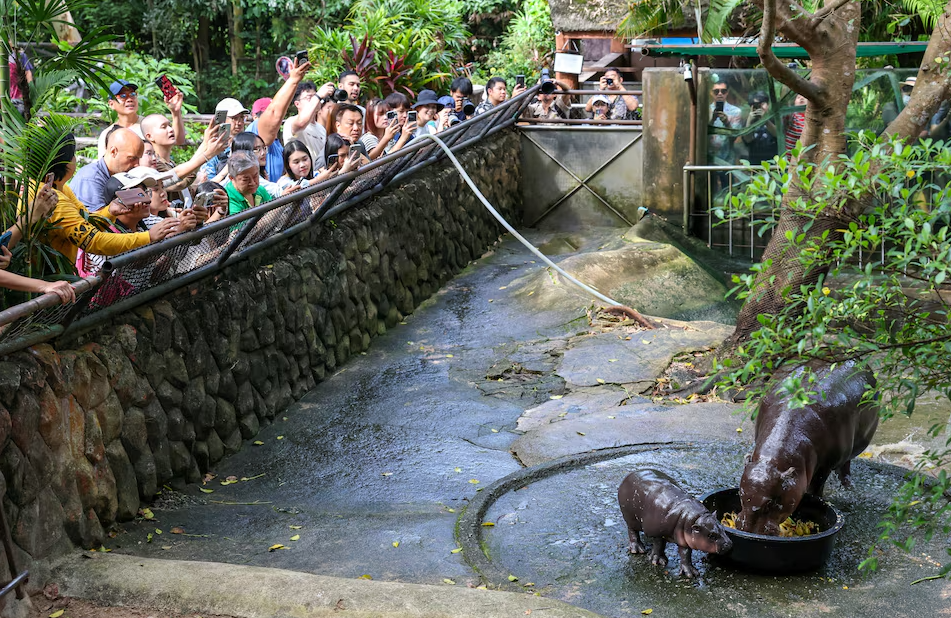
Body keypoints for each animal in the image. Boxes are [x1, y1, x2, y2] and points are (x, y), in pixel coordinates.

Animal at [737, 360, 879, 536]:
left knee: (846, 465)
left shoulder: (825, 465)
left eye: (771, 502)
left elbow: (816, 487)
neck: (772, 460)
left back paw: (848, 486)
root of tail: (861, 362)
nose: (748, 530)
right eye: (740, 494)